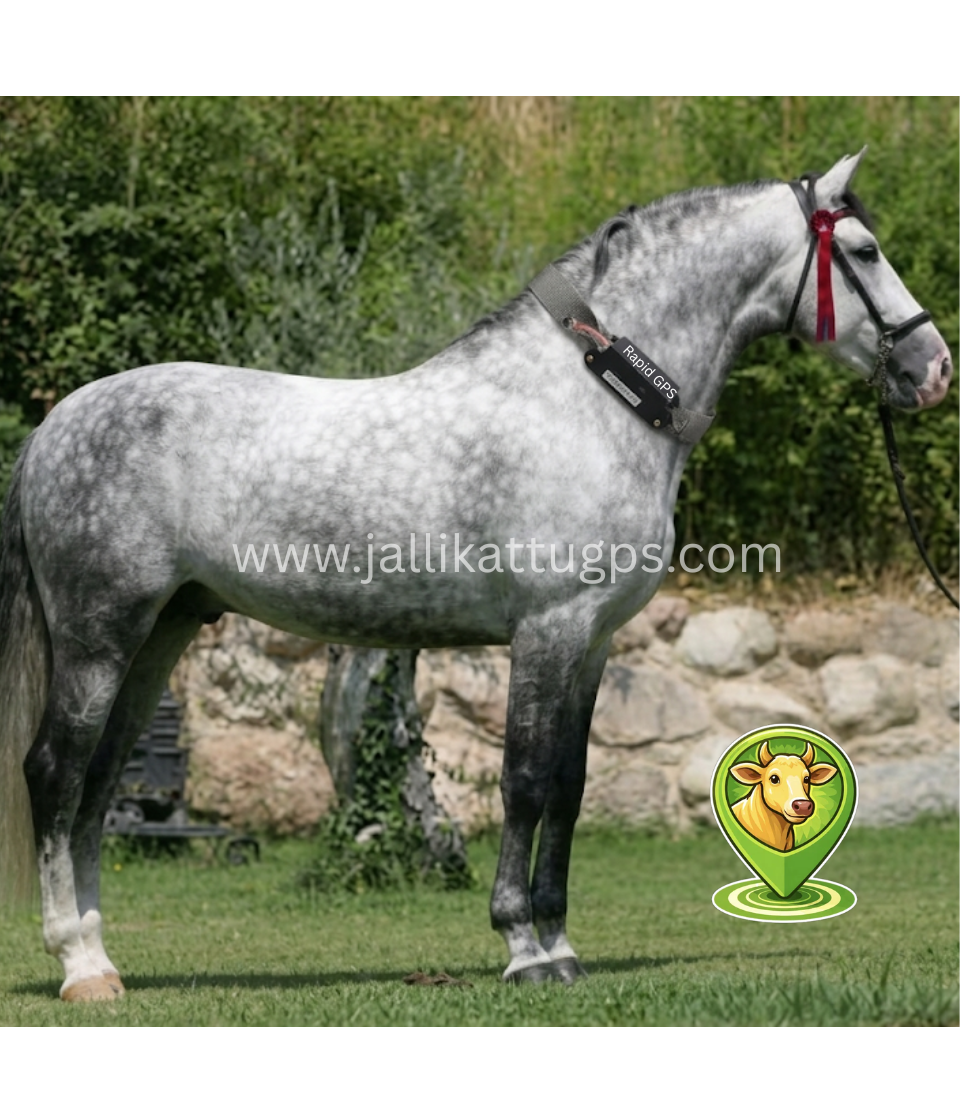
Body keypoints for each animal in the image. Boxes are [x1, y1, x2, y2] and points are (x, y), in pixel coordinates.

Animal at [0, 149, 952, 1001]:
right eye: (865, 250)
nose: (933, 368)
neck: (588, 403)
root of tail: (55, 428)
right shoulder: (548, 628)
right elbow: (523, 781)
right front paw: (523, 946)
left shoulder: (593, 641)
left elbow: (568, 787)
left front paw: (561, 943)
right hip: (100, 637)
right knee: (54, 771)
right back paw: (79, 966)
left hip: (159, 634)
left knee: (100, 782)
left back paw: (102, 955)